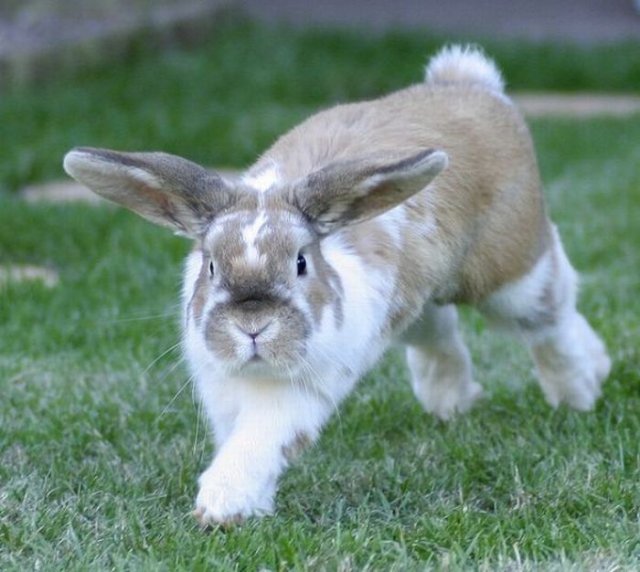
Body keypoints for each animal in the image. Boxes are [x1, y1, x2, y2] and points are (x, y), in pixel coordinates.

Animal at [62, 45, 608, 528]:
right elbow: (237, 439)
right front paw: (247, 505)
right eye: (211, 266)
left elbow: (258, 442)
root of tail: (471, 85)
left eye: (301, 262)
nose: (253, 327)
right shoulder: (221, 392)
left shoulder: (299, 393)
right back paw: (454, 401)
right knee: (439, 330)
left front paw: (222, 506)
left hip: (512, 274)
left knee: (552, 312)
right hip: (414, 300)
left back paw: (581, 388)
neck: (258, 371)